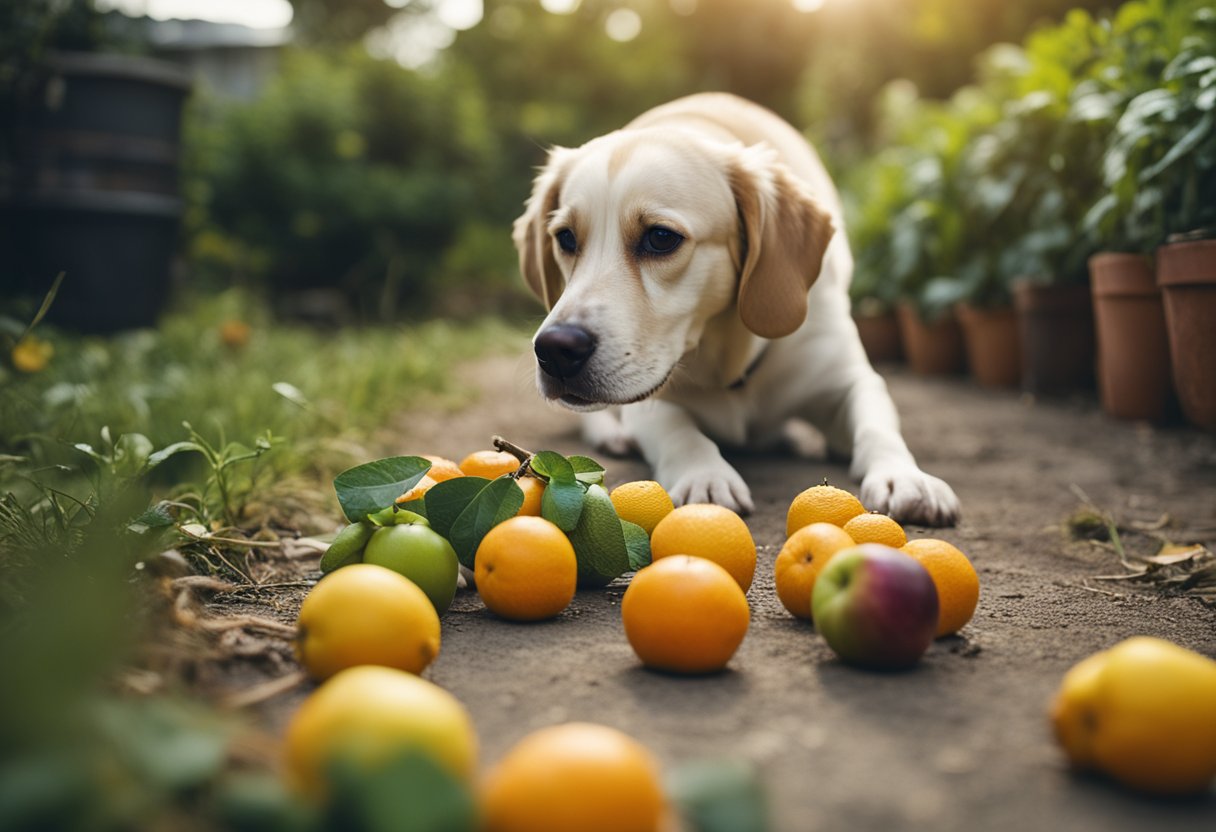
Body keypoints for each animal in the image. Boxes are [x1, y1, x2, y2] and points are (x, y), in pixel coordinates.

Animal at [510, 92, 958, 525]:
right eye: (566, 238)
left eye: (660, 238)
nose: (555, 349)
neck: (732, 363)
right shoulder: (651, 399)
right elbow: (677, 428)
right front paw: (705, 475)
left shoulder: (847, 377)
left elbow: (877, 423)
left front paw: (905, 476)